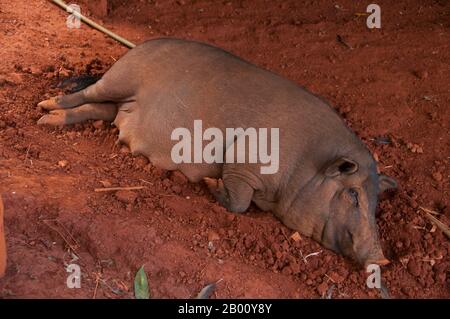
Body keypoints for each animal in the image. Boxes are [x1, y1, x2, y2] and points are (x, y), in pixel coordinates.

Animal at [38, 37, 398, 268]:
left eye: (376, 203)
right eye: (352, 194)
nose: (381, 258)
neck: (307, 165)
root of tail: (143, 44)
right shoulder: (244, 160)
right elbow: (238, 201)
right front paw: (211, 184)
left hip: (115, 104)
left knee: (96, 109)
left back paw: (50, 119)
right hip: (122, 76)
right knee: (85, 94)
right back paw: (45, 109)